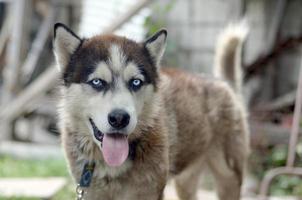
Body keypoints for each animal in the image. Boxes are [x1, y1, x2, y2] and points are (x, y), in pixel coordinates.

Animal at [53, 21, 250, 200]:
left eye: (136, 82)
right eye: (97, 82)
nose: (119, 118)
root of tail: (224, 83)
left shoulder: (149, 192)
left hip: (228, 176)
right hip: (186, 179)